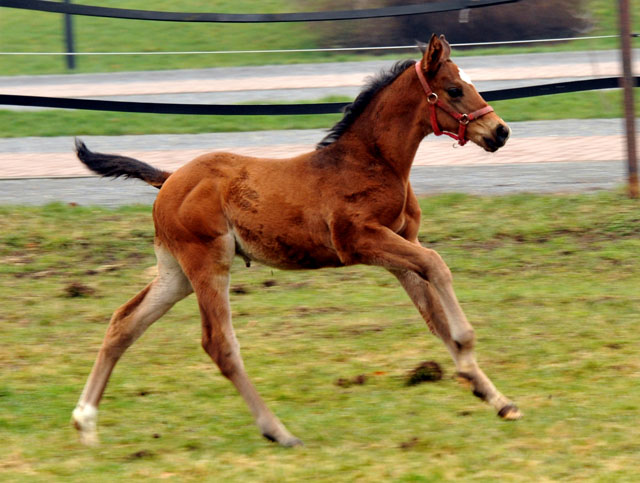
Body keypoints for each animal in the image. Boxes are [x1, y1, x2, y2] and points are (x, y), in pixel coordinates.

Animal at [71, 35, 520, 450]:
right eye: (455, 89)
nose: (500, 131)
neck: (371, 162)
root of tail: (169, 179)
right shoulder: (359, 240)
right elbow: (437, 265)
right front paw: (467, 347)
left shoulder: (398, 245)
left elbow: (434, 313)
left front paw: (495, 397)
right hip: (208, 260)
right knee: (218, 343)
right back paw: (279, 432)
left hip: (176, 272)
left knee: (124, 323)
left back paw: (85, 422)